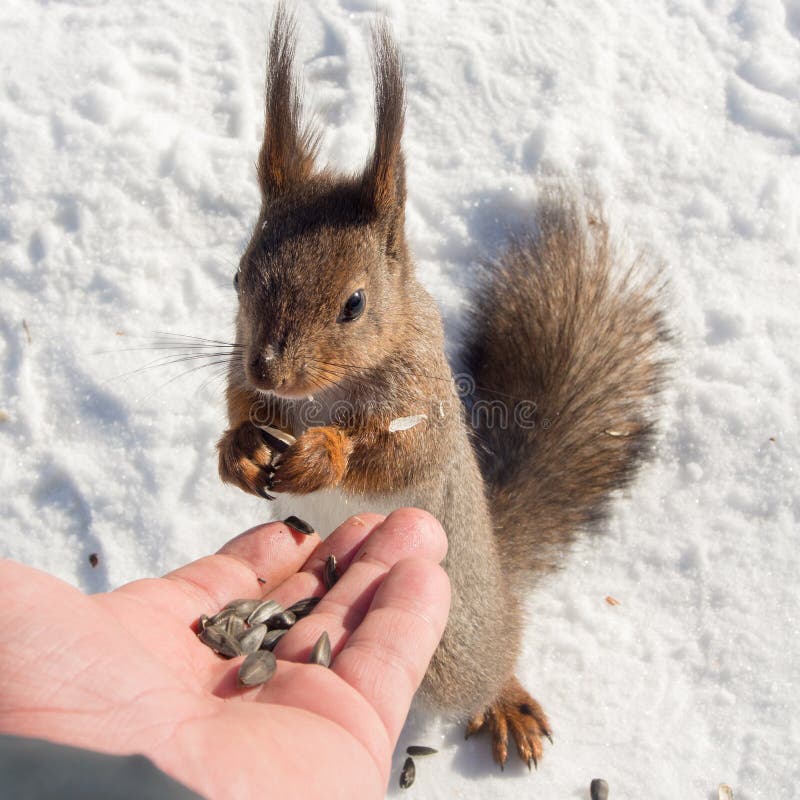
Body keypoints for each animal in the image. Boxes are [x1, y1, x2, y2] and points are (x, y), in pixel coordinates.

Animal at [217, 6, 669, 769]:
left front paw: (323, 455)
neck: (316, 400)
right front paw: (239, 450)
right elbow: (233, 414)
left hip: (458, 641)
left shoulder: (424, 405)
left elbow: (401, 456)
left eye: (355, 304)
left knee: (489, 667)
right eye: (238, 277)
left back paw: (506, 698)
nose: (268, 370)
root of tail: (500, 582)